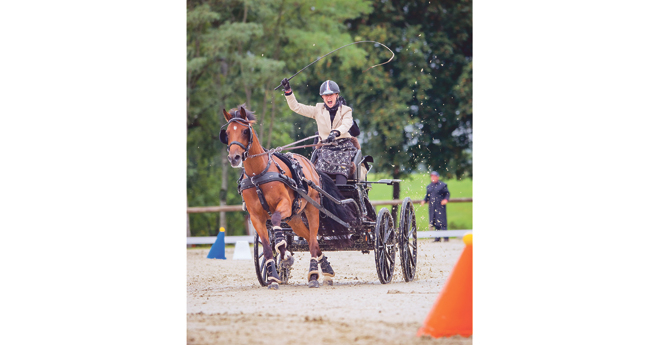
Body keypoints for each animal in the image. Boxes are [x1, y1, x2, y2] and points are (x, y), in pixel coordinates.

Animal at [220, 104, 356, 288]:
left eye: (245, 130)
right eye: (227, 133)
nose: (234, 157)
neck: (259, 174)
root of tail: (312, 167)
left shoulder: (283, 205)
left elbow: (276, 222)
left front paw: (285, 256)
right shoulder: (256, 217)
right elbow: (267, 247)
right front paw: (272, 277)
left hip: (311, 209)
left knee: (313, 239)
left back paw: (314, 275)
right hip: (295, 218)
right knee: (311, 239)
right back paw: (325, 270)